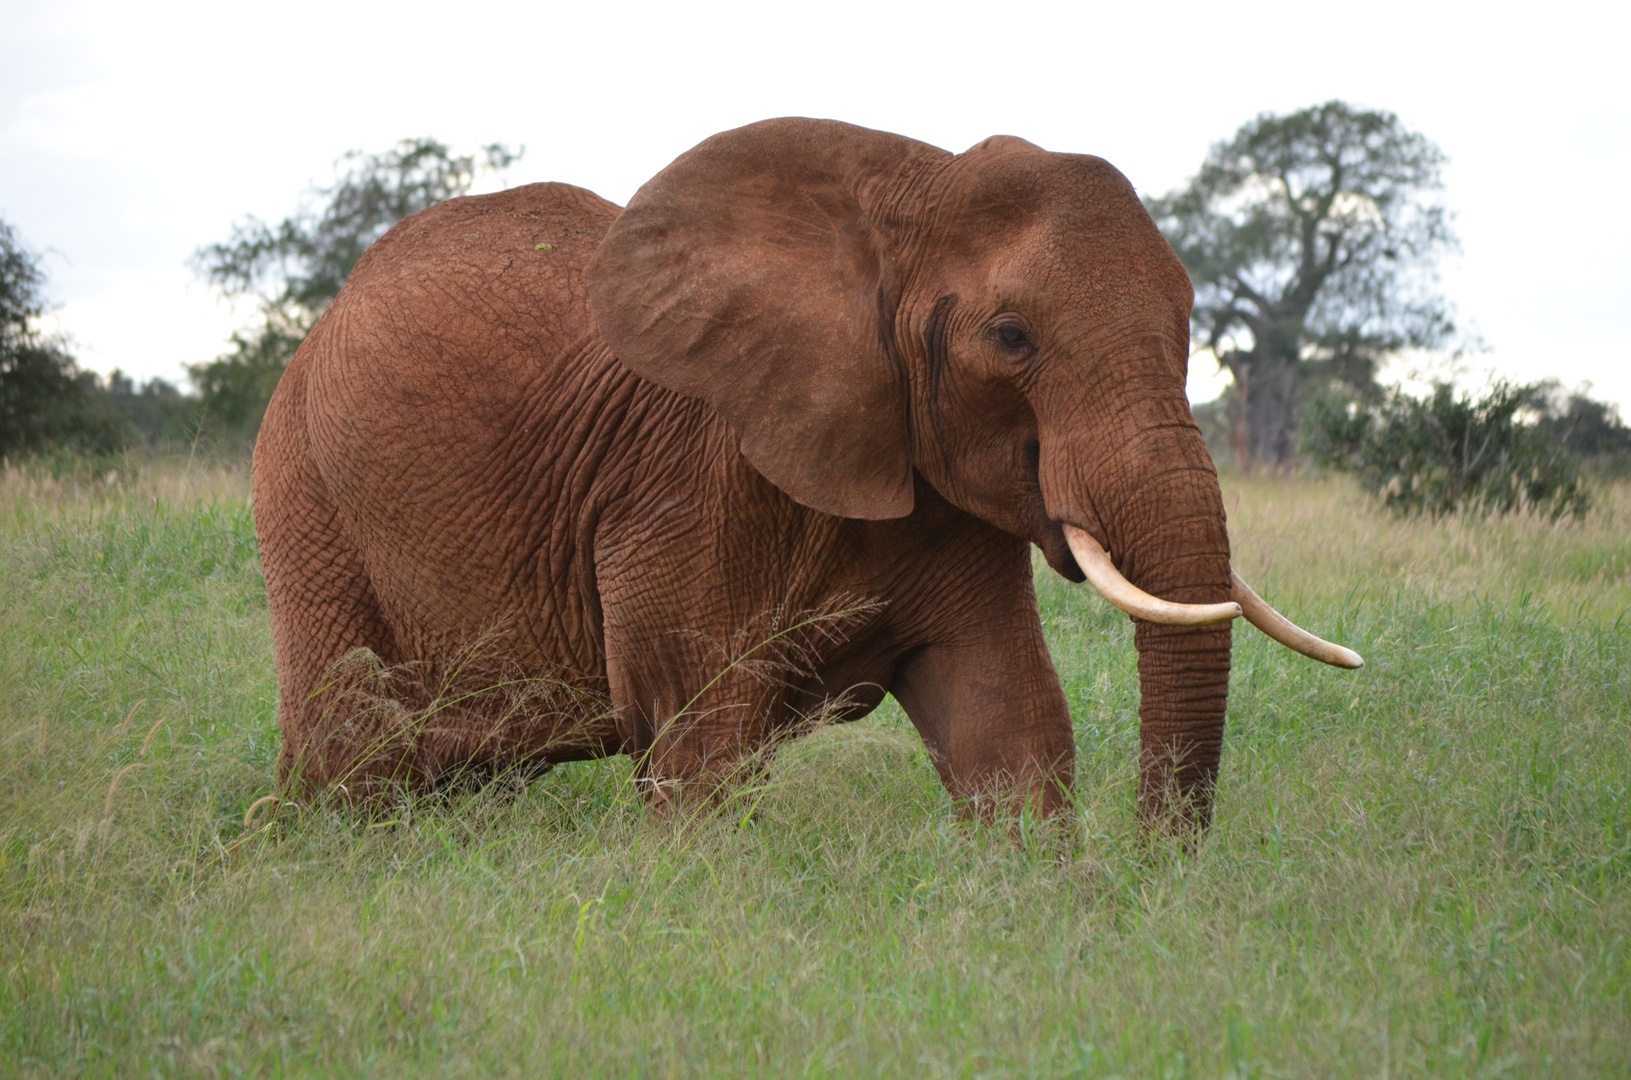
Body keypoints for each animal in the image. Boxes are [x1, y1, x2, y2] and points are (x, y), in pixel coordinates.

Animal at [254, 116, 1356, 828]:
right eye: (1010, 338)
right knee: (353, 745)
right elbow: (700, 736)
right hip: (302, 482)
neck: (903, 197)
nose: (1152, 871)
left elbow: (1007, 723)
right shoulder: (688, 479)